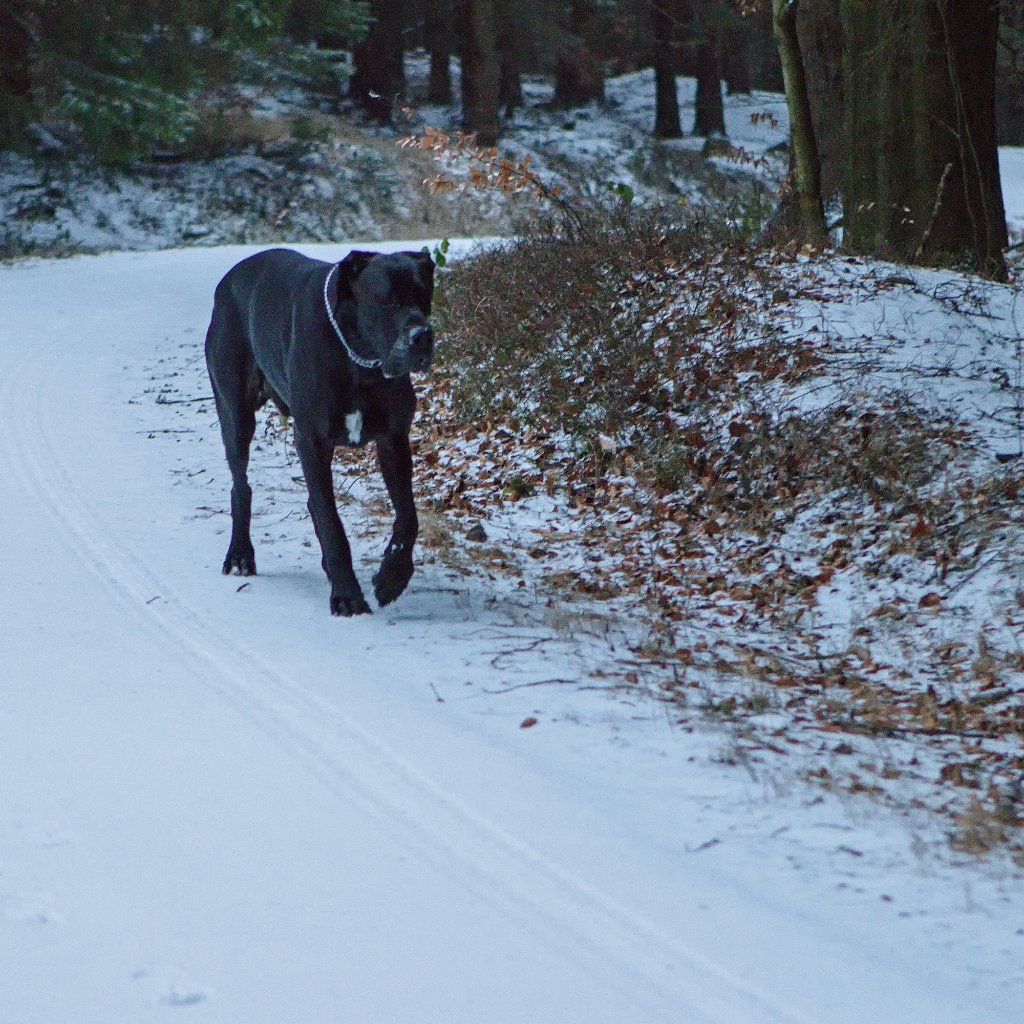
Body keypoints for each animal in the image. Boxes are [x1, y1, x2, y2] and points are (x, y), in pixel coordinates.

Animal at [205, 247, 434, 614]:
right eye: (388, 302)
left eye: (424, 295)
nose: (422, 335)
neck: (359, 360)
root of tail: (227, 281)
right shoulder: (312, 442)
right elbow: (331, 521)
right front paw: (347, 594)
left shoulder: (394, 439)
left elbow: (408, 517)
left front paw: (392, 577)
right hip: (235, 415)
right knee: (241, 486)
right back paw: (240, 554)